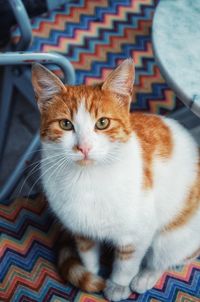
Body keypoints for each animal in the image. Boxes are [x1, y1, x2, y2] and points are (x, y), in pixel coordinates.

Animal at [31, 59, 200, 302]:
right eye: (65, 124)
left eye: (102, 123)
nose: (84, 147)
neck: (87, 180)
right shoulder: (81, 229)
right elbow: (87, 255)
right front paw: (90, 275)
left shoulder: (138, 234)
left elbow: (126, 263)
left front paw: (118, 286)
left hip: (176, 236)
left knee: (163, 258)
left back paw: (146, 277)